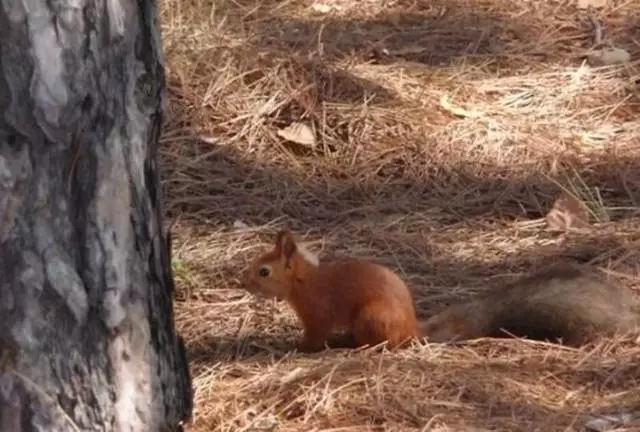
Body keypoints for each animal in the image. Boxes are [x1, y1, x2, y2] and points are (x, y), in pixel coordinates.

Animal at [244, 230, 420, 352]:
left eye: (264, 272)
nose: (244, 283)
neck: (304, 282)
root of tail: (411, 330)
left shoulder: (317, 316)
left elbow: (314, 337)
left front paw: (298, 347)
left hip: (372, 317)